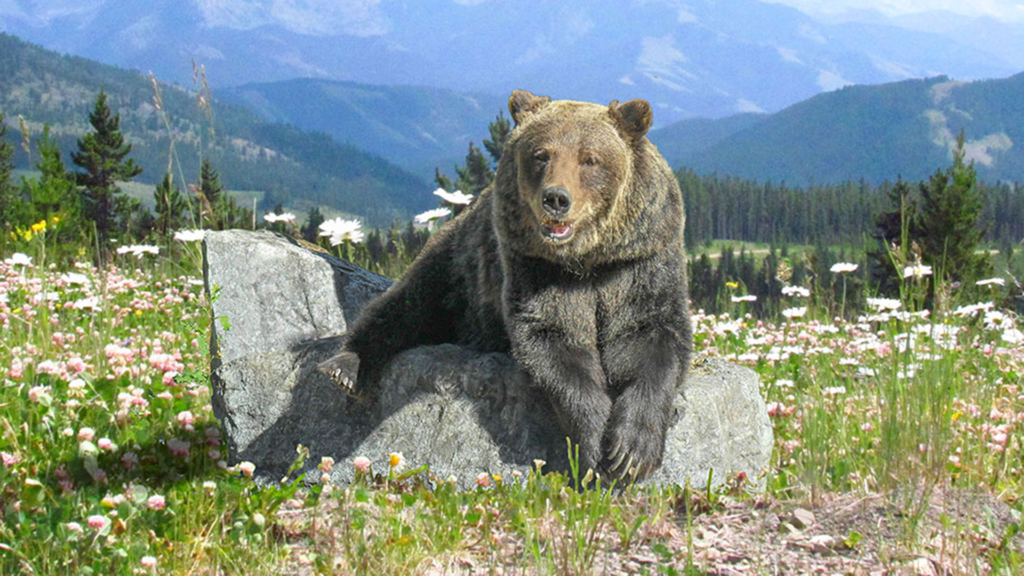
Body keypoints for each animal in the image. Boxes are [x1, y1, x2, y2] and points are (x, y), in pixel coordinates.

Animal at [325, 88, 696, 475]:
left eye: (590, 159)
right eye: (541, 154)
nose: (556, 198)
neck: (585, 260)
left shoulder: (637, 262)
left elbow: (650, 336)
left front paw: (630, 452)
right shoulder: (534, 266)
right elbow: (553, 341)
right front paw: (594, 445)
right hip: (458, 269)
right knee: (406, 305)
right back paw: (346, 366)